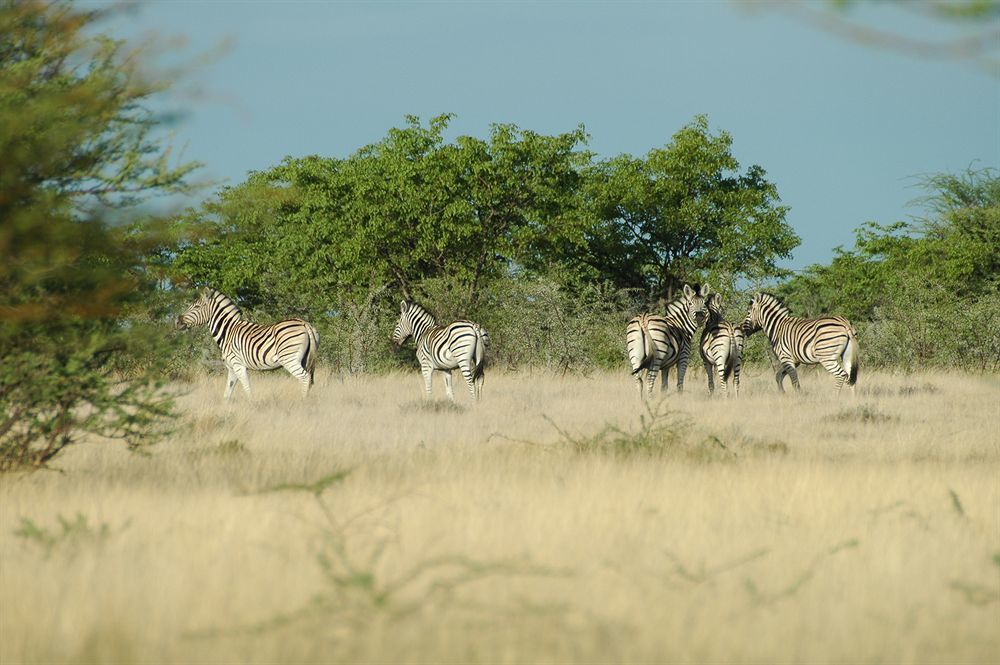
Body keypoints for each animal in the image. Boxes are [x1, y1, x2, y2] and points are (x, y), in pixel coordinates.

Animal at [176, 286, 320, 400]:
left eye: (196, 306)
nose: (177, 321)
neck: (227, 332)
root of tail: (304, 323)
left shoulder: (238, 364)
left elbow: (246, 388)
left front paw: (252, 405)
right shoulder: (231, 368)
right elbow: (227, 393)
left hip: (289, 359)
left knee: (305, 378)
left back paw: (302, 402)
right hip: (304, 359)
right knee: (308, 380)